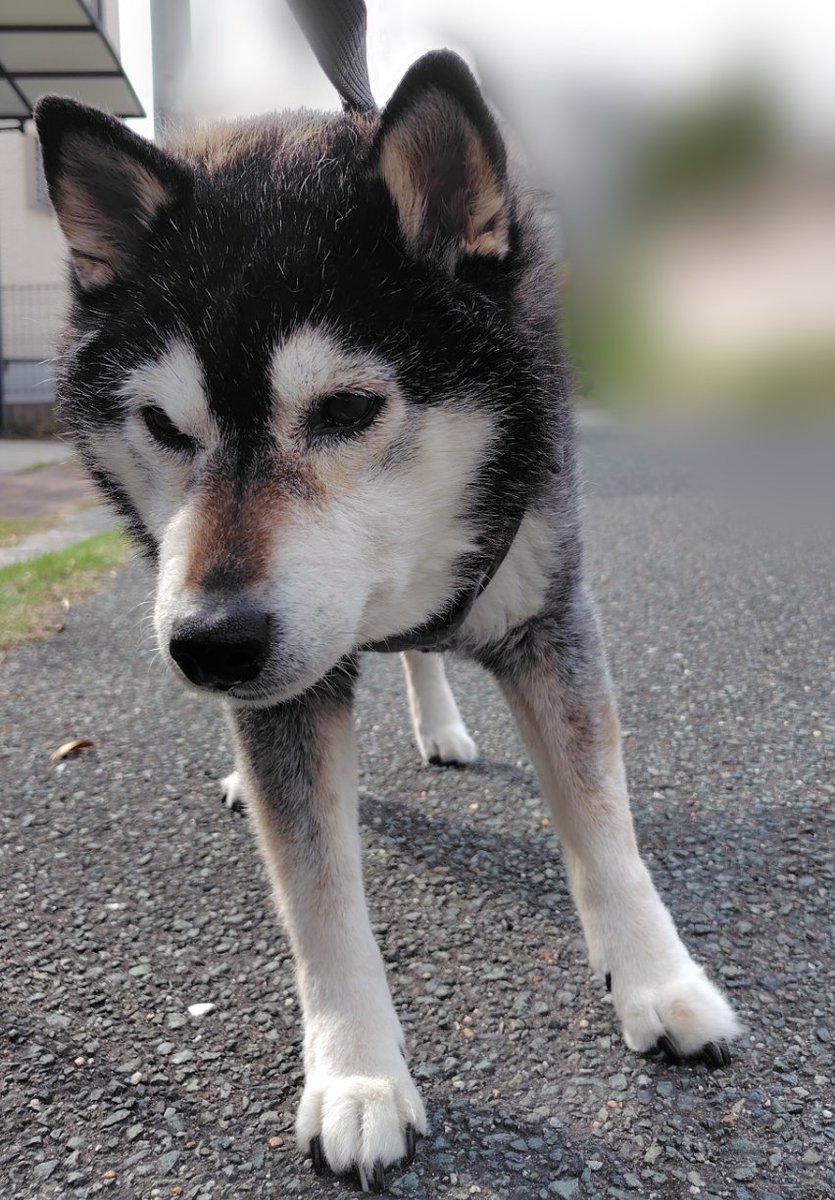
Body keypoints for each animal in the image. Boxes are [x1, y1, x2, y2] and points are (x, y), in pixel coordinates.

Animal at [34, 18, 739, 1190]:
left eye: (346, 410)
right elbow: (318, 900)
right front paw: (357, 1078)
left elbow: (604, 829)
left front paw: (660, 983)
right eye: (167, 427)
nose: (208, 646)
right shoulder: (278, 679)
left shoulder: (548, 616)